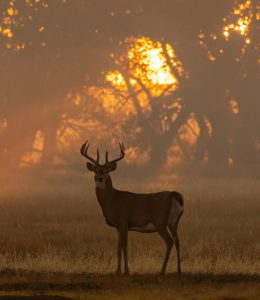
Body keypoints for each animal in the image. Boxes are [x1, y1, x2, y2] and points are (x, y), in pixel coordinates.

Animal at [80, 141, 184, 274]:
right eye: (96, 171)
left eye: (106, 171)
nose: (100, 178)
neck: (112, 199)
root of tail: (174, 195)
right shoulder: (118, 226)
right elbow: (118, 249)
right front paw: (117, 271)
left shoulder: (123, 221)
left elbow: (125, 247)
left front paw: (126, 271)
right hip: (174, 222)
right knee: (177, 240)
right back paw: (178, 270)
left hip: (160, 221)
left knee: (170, 241)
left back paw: (162, 271)